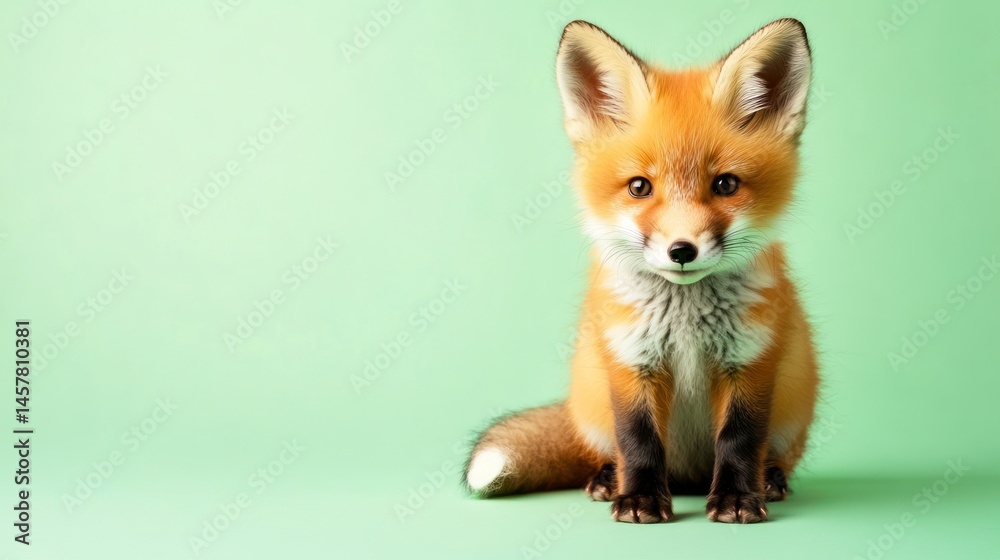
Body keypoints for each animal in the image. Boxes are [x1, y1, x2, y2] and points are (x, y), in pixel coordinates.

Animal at [464, 18, 820, 524]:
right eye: (639, 187)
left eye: (725, 184)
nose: (682, 250)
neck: (687, 322)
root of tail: (689, 477)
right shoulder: (631, 359)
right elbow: (638, 441)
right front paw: (639, 499)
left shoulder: (750, 360)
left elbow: (739, 441)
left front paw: (736, 498)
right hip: (592, 401)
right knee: (608, 452)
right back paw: (607, 480)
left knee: (770, 455)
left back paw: (769, 480)